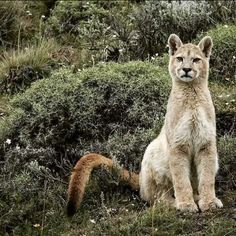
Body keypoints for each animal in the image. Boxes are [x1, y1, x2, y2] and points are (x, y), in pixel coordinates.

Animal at [67, 33, 223, 216]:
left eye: (196, 60)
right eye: (180, 58)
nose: (186, 69)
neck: (191, 94)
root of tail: (140, 178)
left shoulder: (206, 145)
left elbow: (207, 178)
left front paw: (209, 202)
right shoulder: (178, 146)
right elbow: (181, 180)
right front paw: (186, 204)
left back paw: (201, 198)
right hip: (153, 151)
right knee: (156, 197)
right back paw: (175, 203)